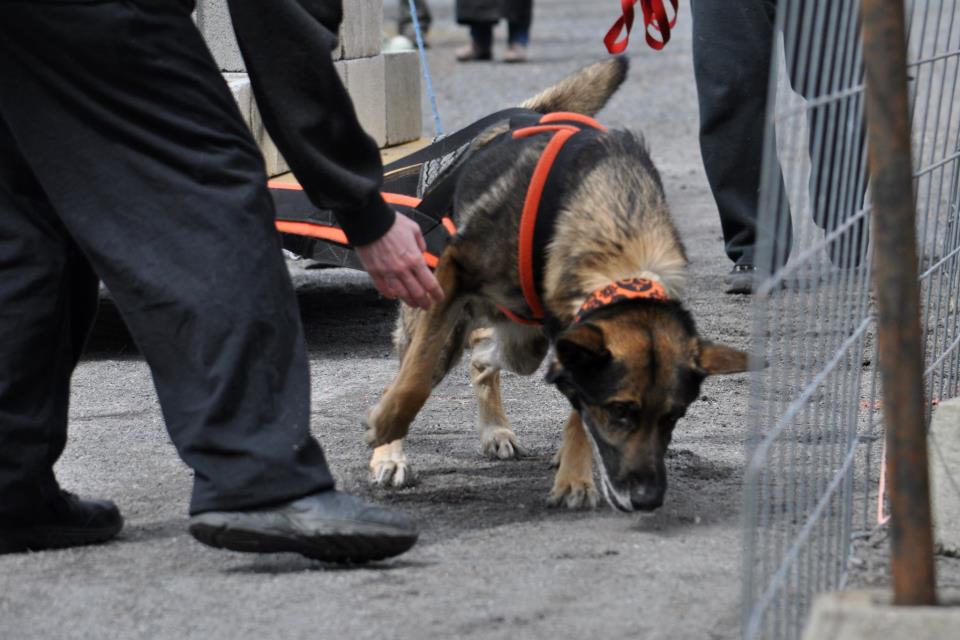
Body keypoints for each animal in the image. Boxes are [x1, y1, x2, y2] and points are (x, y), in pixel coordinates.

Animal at [364, 57, 748, 512]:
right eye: (620, 412)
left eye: (673, 418)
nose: (648, 499)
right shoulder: (455, 274)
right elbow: (416, 377)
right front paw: (387, 427)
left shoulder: (573, 335)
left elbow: (575, 411)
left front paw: (575, 476)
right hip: (441, 312)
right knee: (412, 368)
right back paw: (390, 451)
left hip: (519, 328)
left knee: (493, 354)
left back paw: (496, 427)